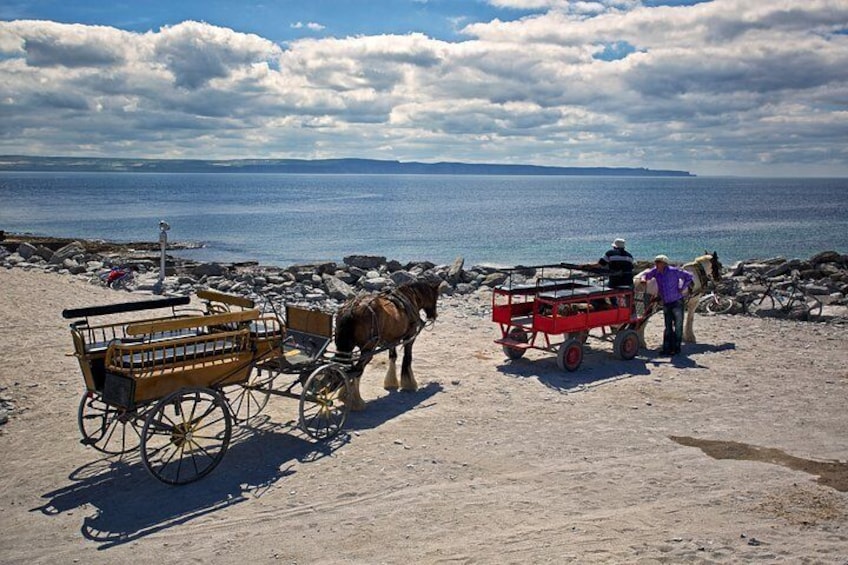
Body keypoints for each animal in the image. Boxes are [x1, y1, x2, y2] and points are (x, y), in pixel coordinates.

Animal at [332, 280, 438, 410]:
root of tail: (351, 309)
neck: (409, 296)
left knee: (346, 368)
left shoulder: (391, 340)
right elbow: (407, 358)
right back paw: (356, 401)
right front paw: (409, 384)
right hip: (368, 350)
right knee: (357, 370)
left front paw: (391, 383)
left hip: (346, 348)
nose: (434, 315)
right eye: (436, 297)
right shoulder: (410, 337)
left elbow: (393, 357)